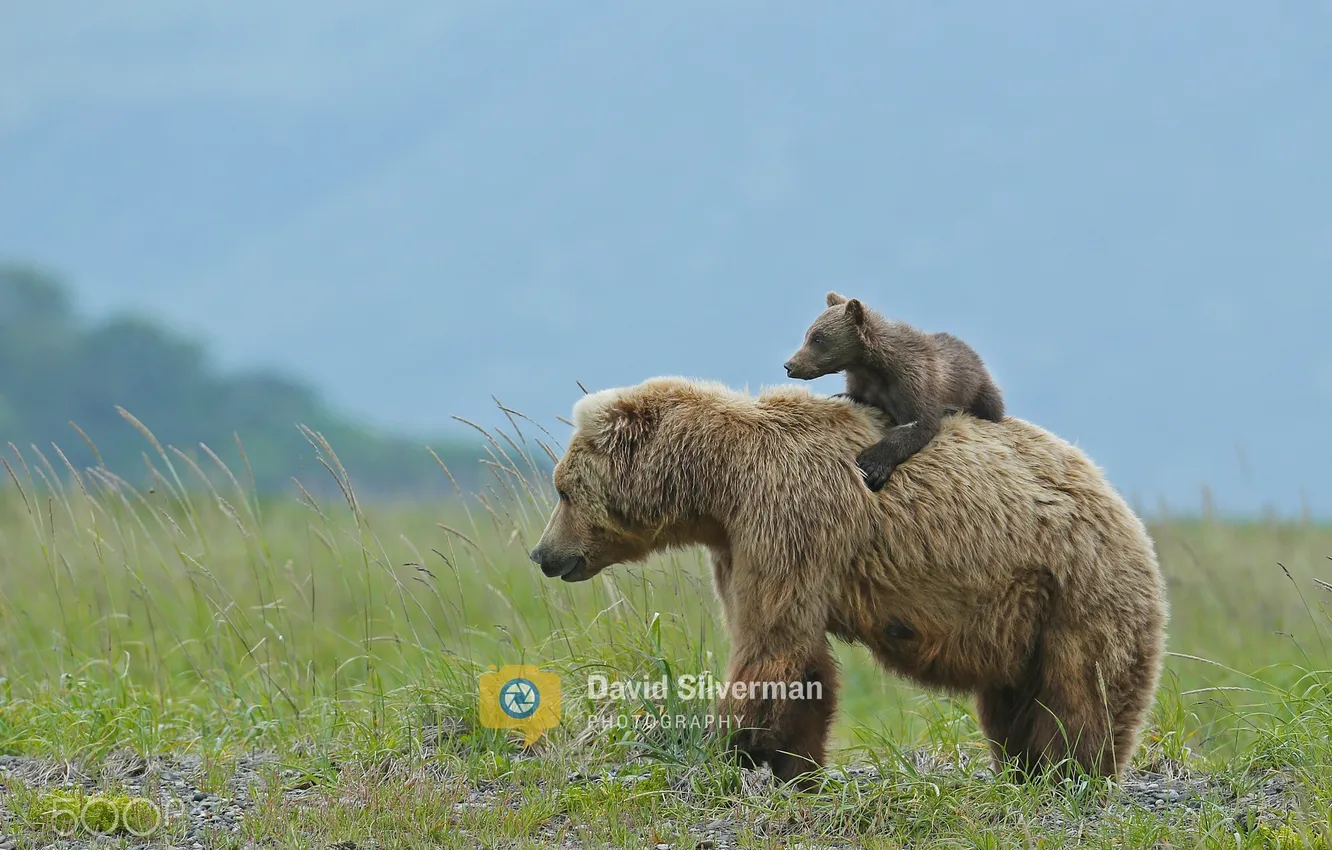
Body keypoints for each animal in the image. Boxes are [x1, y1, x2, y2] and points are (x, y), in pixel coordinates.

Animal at [530, 378, 1166, 788]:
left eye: (562, 488)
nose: (542, 554)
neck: (720, 485)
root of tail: (1124, 508)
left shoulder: (789, 518)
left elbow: (773, 644)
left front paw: (731, 747)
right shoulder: (739, 544)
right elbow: (792, 653)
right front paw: (792, 764)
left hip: (1078, 588)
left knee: (1083, 691)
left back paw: (1073, 771)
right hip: (1022, 616)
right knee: (1011, 700)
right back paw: (1022, 766)